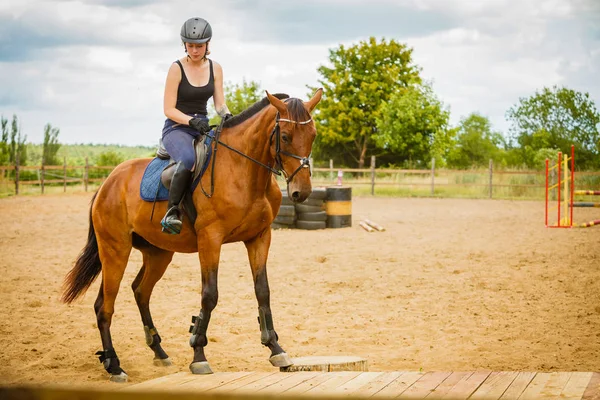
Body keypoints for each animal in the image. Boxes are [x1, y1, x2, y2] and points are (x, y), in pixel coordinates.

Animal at [60, 90, 322, 382]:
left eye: (312, 134)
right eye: (285, 136)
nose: (301, 191)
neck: (242, 170)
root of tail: (109, 181)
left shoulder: (259, 237)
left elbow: (262, 291)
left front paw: (276, 349)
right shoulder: (211, 239)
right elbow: (209, 295)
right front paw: (199, 355)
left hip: (158, 253)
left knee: (140, 291)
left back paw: (158, 352)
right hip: (115, 250)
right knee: (104, 305)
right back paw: (114, 365)